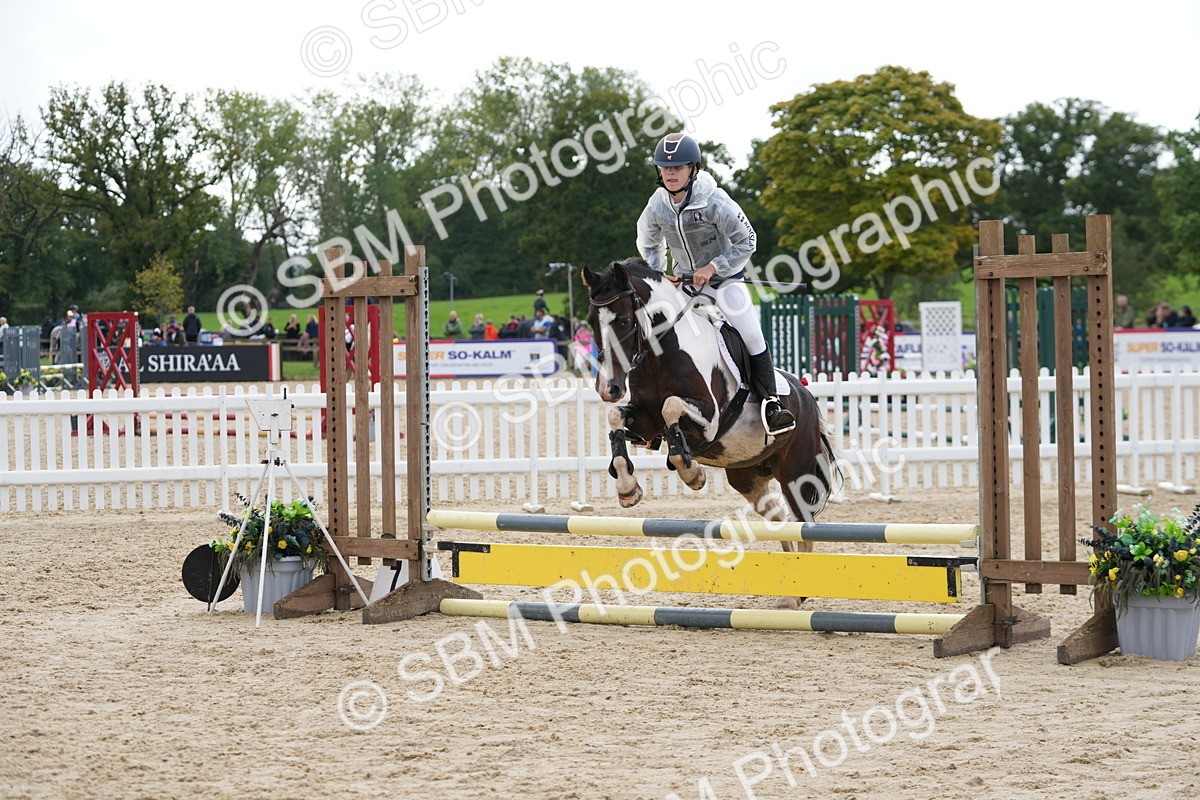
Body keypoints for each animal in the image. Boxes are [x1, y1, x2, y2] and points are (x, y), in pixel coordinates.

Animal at [582, 257, 840, 549]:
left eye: (625, 321)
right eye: (591, 321)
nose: (608, 388)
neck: (661, 356)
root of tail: (806, 395)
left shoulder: (710, 419)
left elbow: (670, 406)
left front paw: (691, 472)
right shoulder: (646, 422)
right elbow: (616, 415)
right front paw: (627, 487)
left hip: (796, 475)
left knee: (803, 526)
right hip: (748, 476)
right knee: (779, 519)